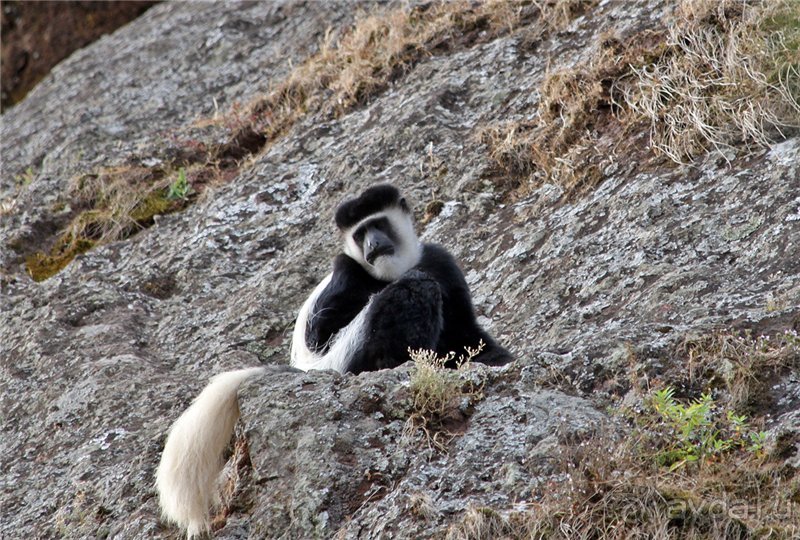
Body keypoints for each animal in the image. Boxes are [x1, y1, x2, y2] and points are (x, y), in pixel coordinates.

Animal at [153, 185, 510, 536]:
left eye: (378, 224)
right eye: (360, 233)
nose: (373, 245)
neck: (391, 271)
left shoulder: (441, 261)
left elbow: (466, 332)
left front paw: (496, 360)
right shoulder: (347, 270)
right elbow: (322, 332)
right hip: (350, 356)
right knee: (412, 291)